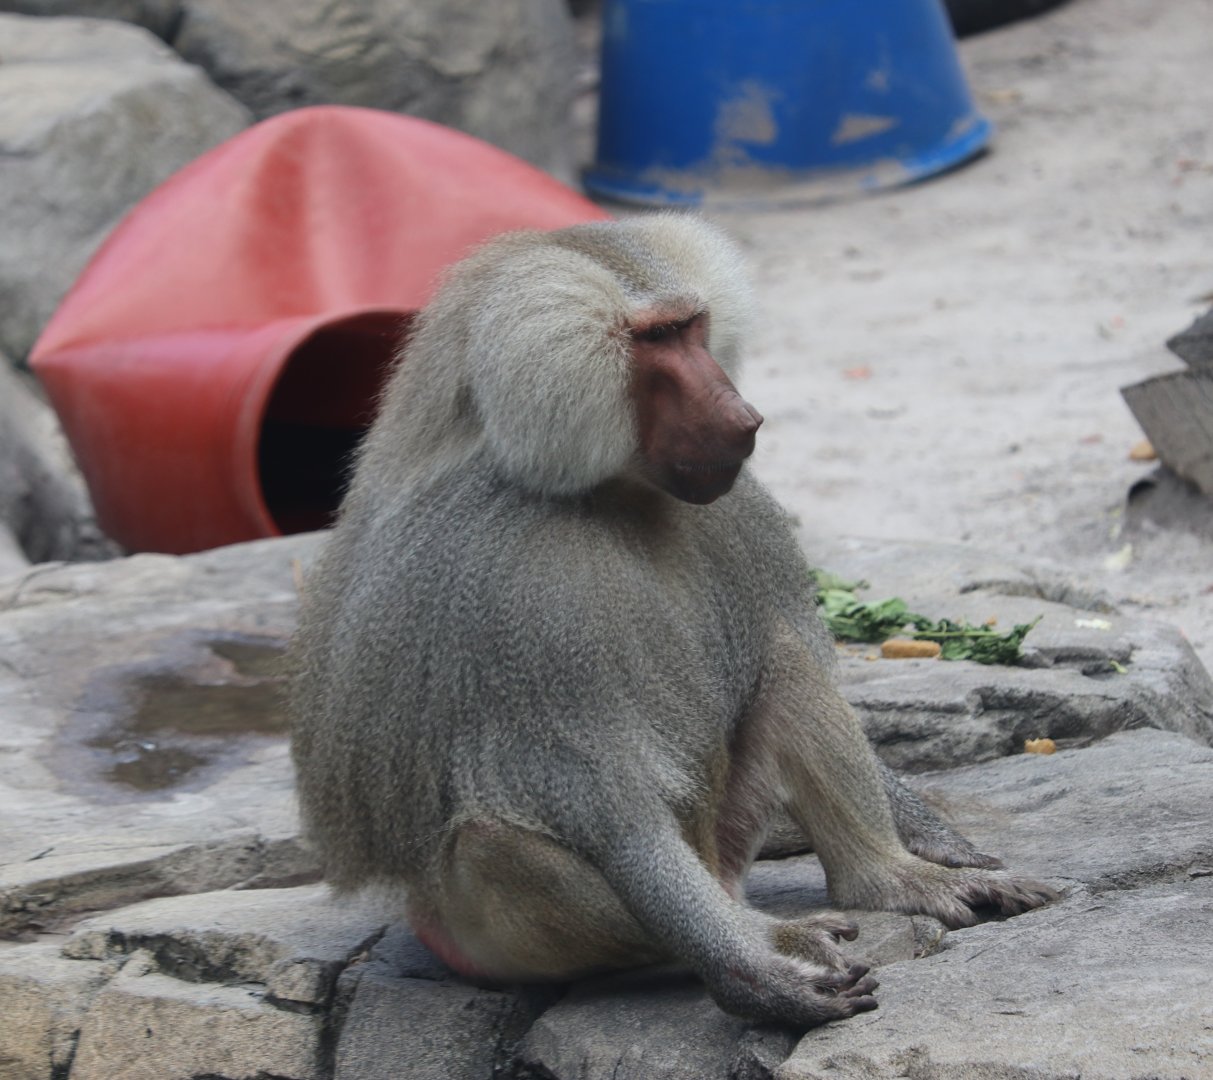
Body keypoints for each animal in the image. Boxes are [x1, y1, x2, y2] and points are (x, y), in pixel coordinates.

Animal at [289, 214, 1056, 1030]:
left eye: (691, 327)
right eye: (654, 339)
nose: (745, 418)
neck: (612, 489)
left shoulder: (739, 512)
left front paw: (943, 844)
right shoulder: (513, 584)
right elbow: (610, 812)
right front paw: (756, 976)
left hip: (727, 838)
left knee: (783, 660)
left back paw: (888, 880)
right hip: (485, 931)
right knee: (497, 845)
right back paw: (769, 937)